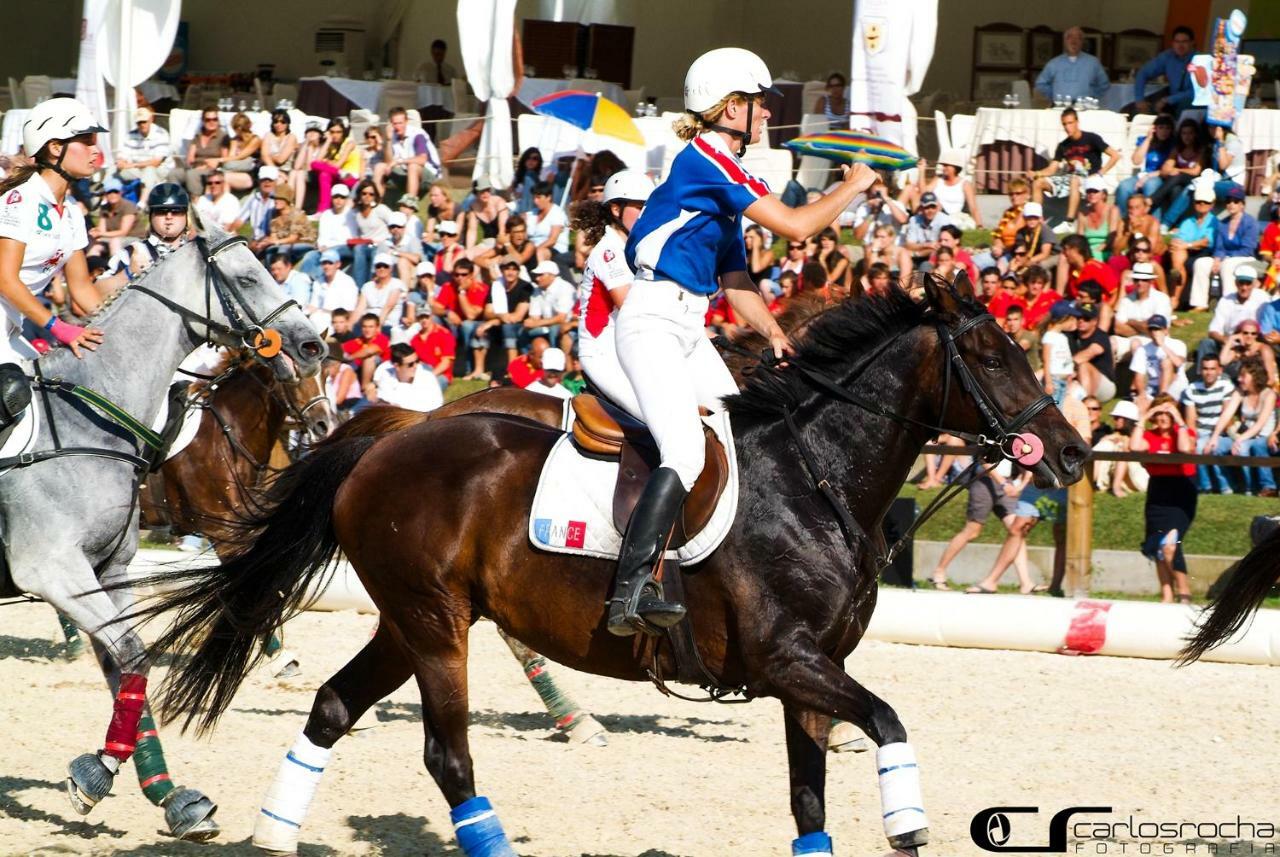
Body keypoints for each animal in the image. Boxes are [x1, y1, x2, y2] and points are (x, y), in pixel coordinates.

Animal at [1, 226, 320, 839]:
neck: (92, 420)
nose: (312, 344)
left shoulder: (107, 571)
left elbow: (129, 664)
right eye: (247, 278)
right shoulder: (52, 569)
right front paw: (99, 771)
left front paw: (170, 797)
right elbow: (135, 654)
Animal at [132, 278, 1090, 854]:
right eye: (994, 355)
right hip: (435, 625)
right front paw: (908, 823)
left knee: (334, 708)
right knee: (449, 757)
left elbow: (810, 797)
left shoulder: (811, 674)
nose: (1075, 453)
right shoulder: (789, 660)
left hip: (411, 620)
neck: (816, 476)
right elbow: (890, 723)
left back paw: (275, 833)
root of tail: (392, 432)